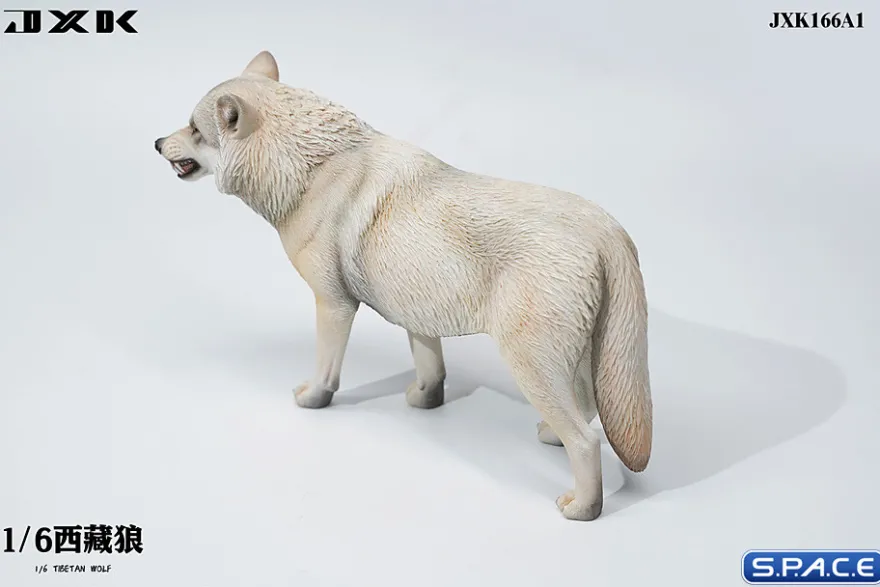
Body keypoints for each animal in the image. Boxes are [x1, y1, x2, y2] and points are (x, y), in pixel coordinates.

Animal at [154, 51, 652, 521]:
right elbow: (432, 370)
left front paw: (313, 399)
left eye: (194, 129)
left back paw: (583, 508)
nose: (157, 142)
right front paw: (424, 402)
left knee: (587, 440)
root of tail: (609, 231)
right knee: (587, 410)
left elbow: (326, 372)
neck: (308, 166)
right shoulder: (418, 314)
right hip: (571, 360)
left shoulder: (334, 305)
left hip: (531, 364)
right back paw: (550, 436)